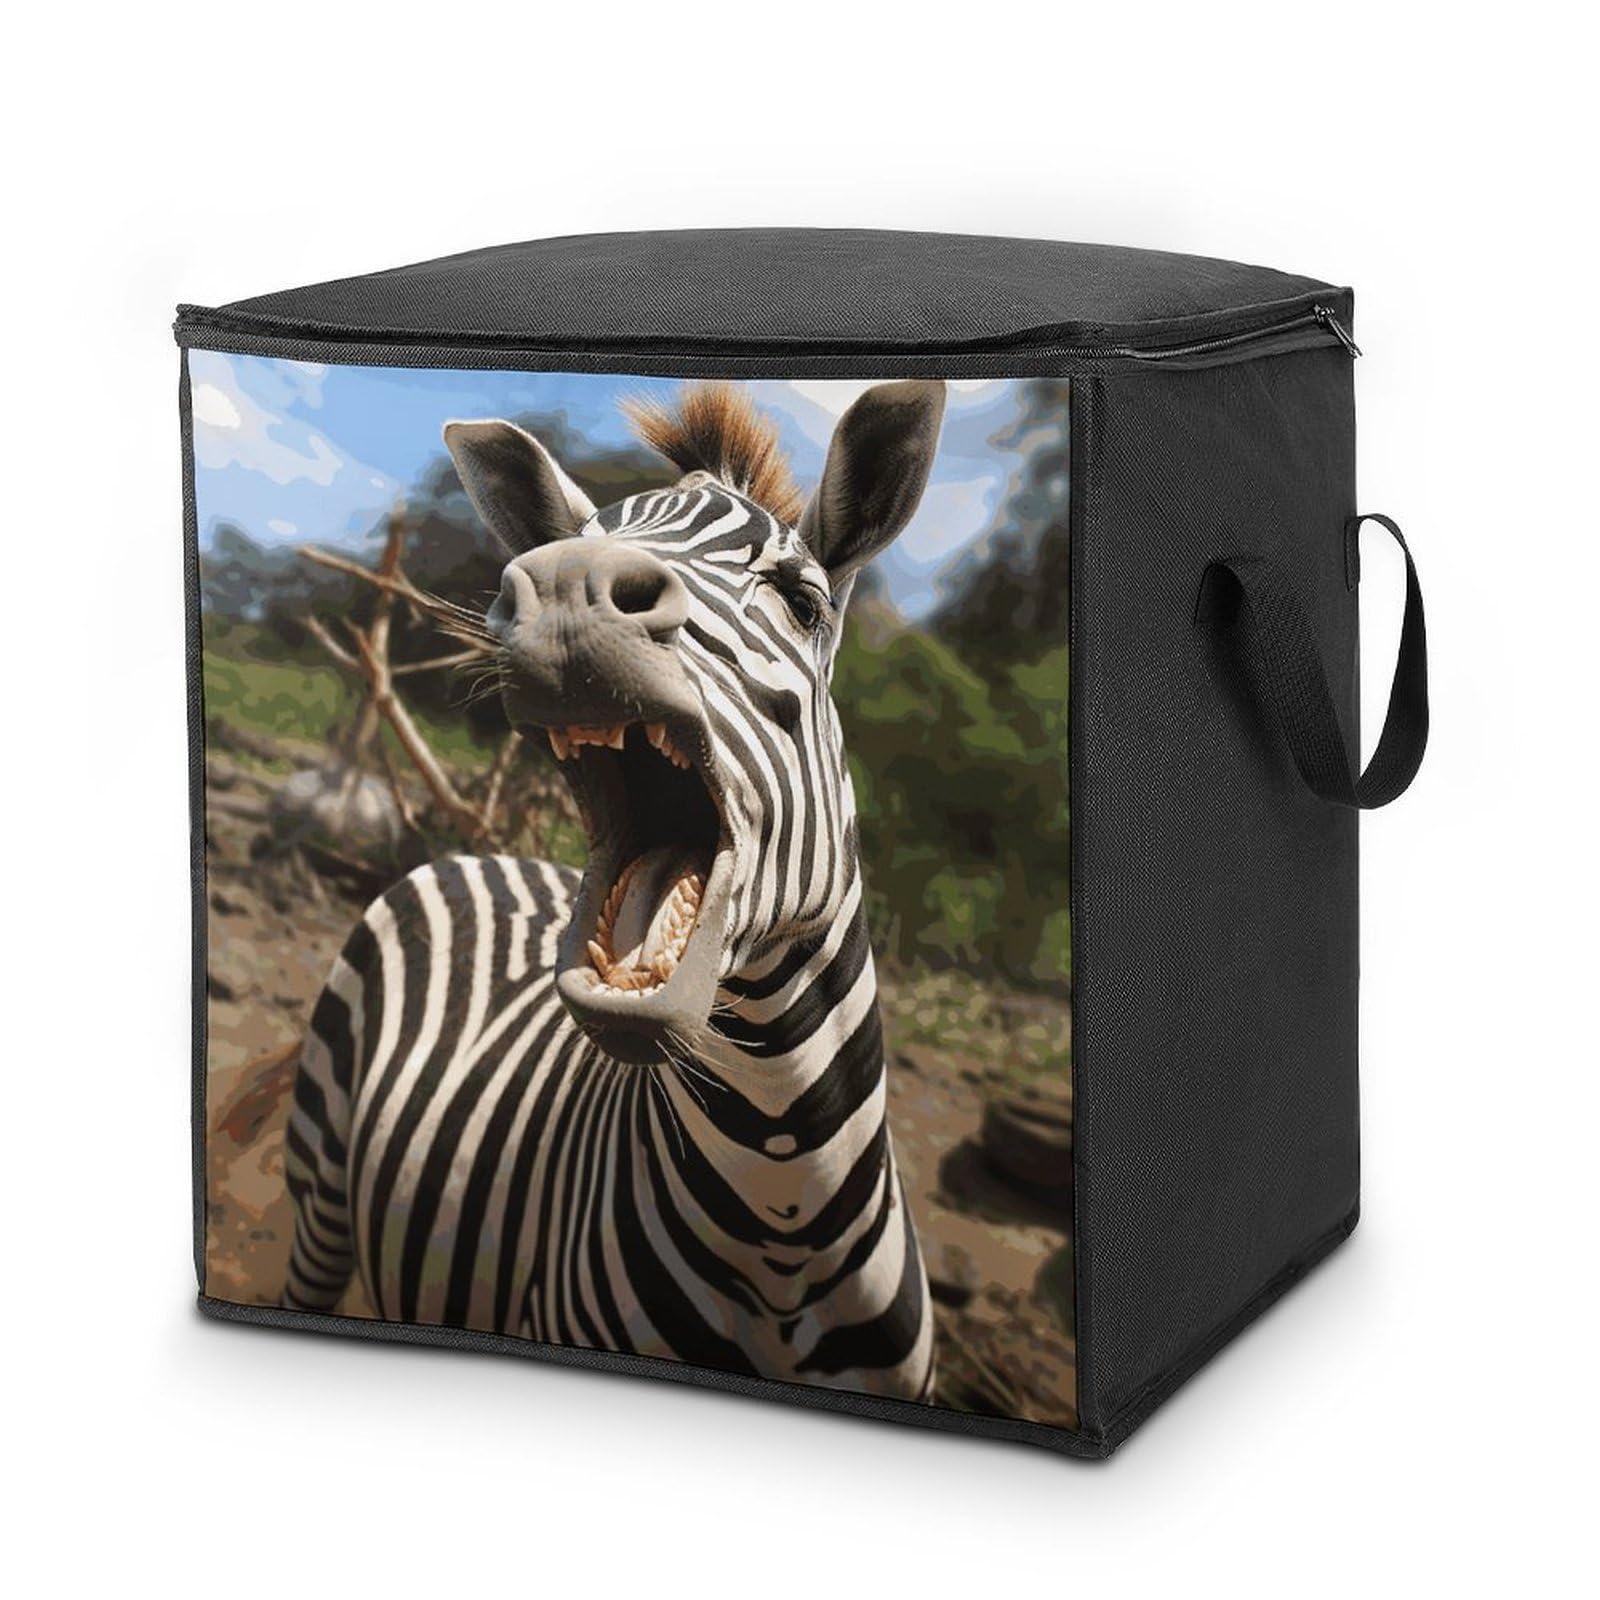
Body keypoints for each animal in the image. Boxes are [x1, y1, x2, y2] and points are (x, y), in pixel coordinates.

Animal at [283, 379, 947, 1402]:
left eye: (801, 600)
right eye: (573, 546)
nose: (563, 586)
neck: (783, 1219)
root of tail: (481, 859)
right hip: (319, 1177)